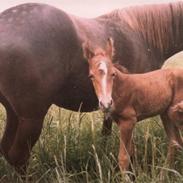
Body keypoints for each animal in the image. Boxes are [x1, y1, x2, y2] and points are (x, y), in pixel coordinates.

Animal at [83, 38, 183, 172]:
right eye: (91, 76)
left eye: (113, 74)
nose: (106, 103)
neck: (120, 88)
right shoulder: (120, 122)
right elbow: (131, 152)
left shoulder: (128, 121)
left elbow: (124, 157)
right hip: (166, 114)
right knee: (175, 142)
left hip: (176, 114)